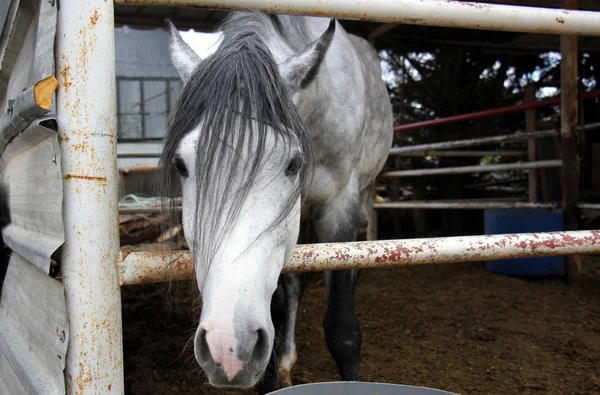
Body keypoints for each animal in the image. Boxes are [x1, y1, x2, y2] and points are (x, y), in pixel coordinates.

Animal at [158, 11, 394, 392]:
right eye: (181, 164)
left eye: (293, 163)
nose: (227, 347)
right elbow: (281, 302)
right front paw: (273, 376)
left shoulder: (338, 207)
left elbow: (342, 330)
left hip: (363, 193)